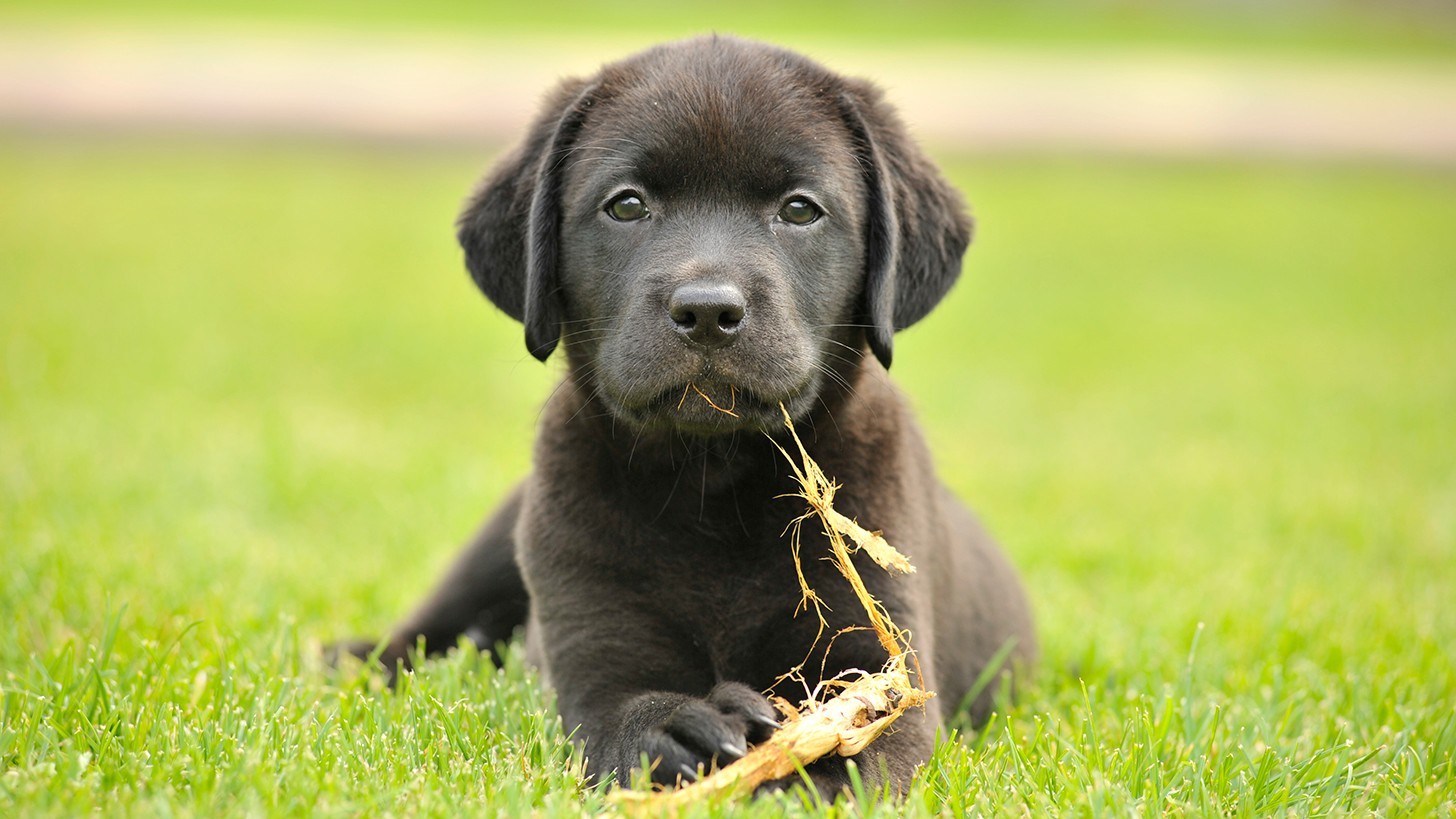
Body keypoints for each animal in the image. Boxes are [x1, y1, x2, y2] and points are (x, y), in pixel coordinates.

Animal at [343, 33, 1036, 792]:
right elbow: (619, 708)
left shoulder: (877, 657)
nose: (707, 310)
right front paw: (673, 727)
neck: (714, 479)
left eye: (800, 210)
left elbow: (861, 752)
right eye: (626, 206)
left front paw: (806, 774)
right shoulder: (594, 642)